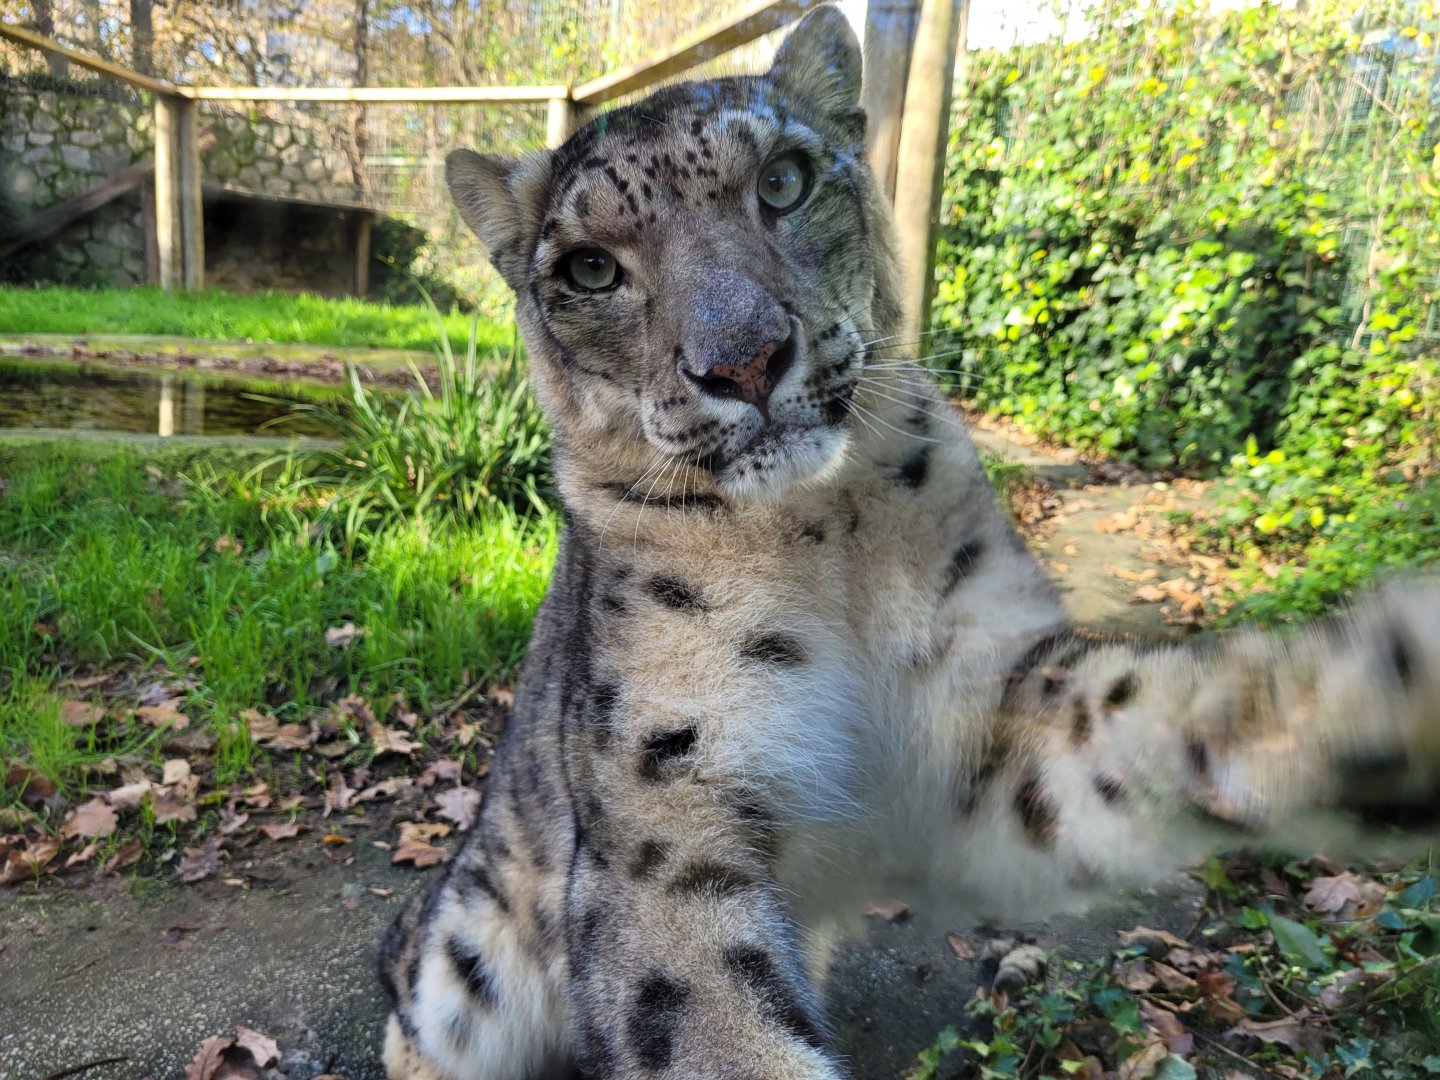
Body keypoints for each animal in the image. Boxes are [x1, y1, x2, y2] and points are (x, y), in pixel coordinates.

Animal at [376, 7, 1440, 1078]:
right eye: (589, 268)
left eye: (784, 181)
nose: (745, 360)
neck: (824, 544)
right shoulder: (667, 807)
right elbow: (712, 1020)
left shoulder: (983, 718)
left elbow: (1137, 718)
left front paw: (1375, 689)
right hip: (460, 953)